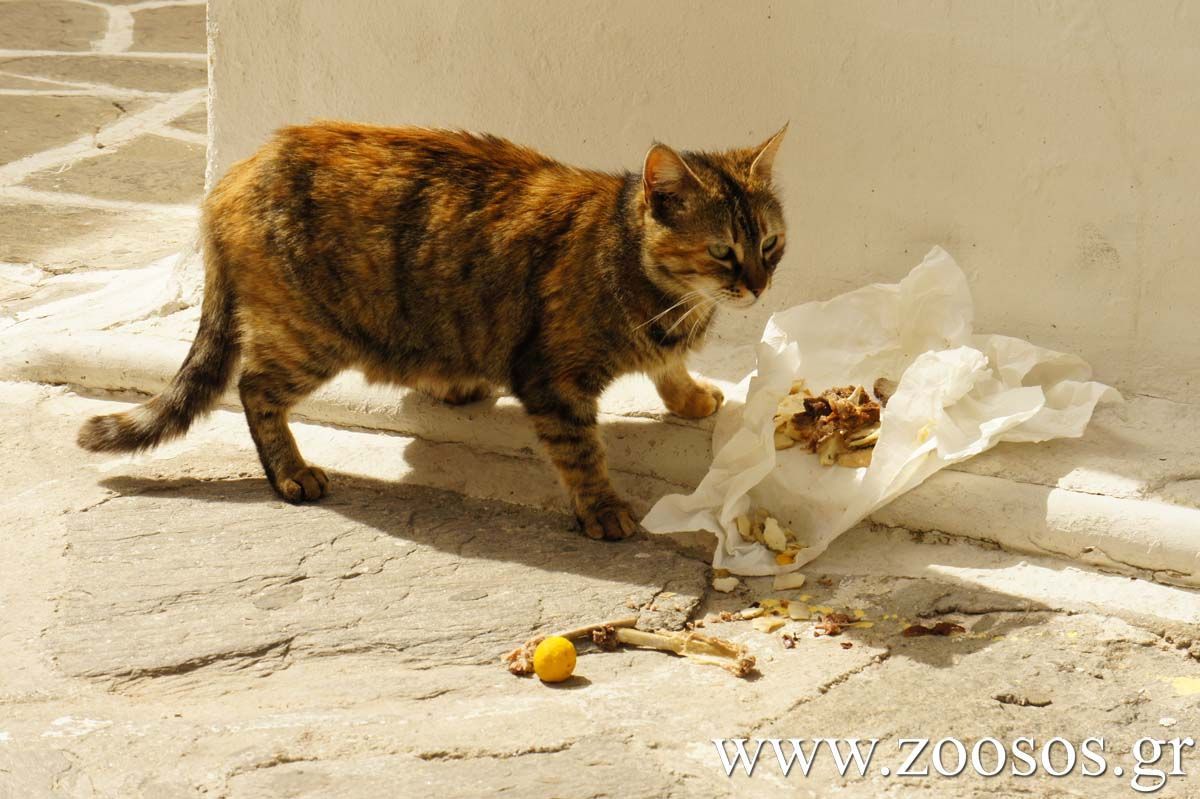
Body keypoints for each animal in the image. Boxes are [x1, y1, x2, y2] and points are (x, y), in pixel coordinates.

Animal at [77, 122, 787, 535]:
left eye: (771, 244)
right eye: (723, 252)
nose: (758, 287)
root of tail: (235, 174)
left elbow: (671, 369)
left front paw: (691, 395)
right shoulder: (553, 382)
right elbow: (583, 453)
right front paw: (603, 509)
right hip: (315, 335)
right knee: (254, 388)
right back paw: (291, 472)